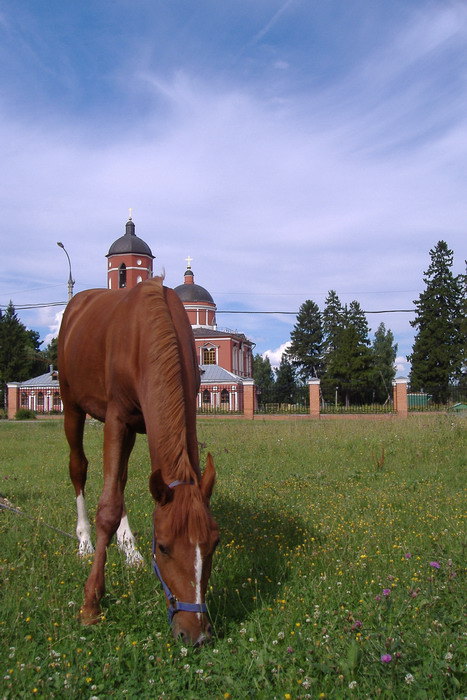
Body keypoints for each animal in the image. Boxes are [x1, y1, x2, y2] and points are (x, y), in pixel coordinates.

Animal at [58, 274, 219, 644]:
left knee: (120, 479)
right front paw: (91, 604)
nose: (196, 634)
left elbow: (118, 487)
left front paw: (127, 546)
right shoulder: (116, 418)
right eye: (163, 546)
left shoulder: (177, 414)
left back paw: (128, 548)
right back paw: (84, 541)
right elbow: (107, 507)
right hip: (72, 407)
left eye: (214, 543)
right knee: (79, 469)